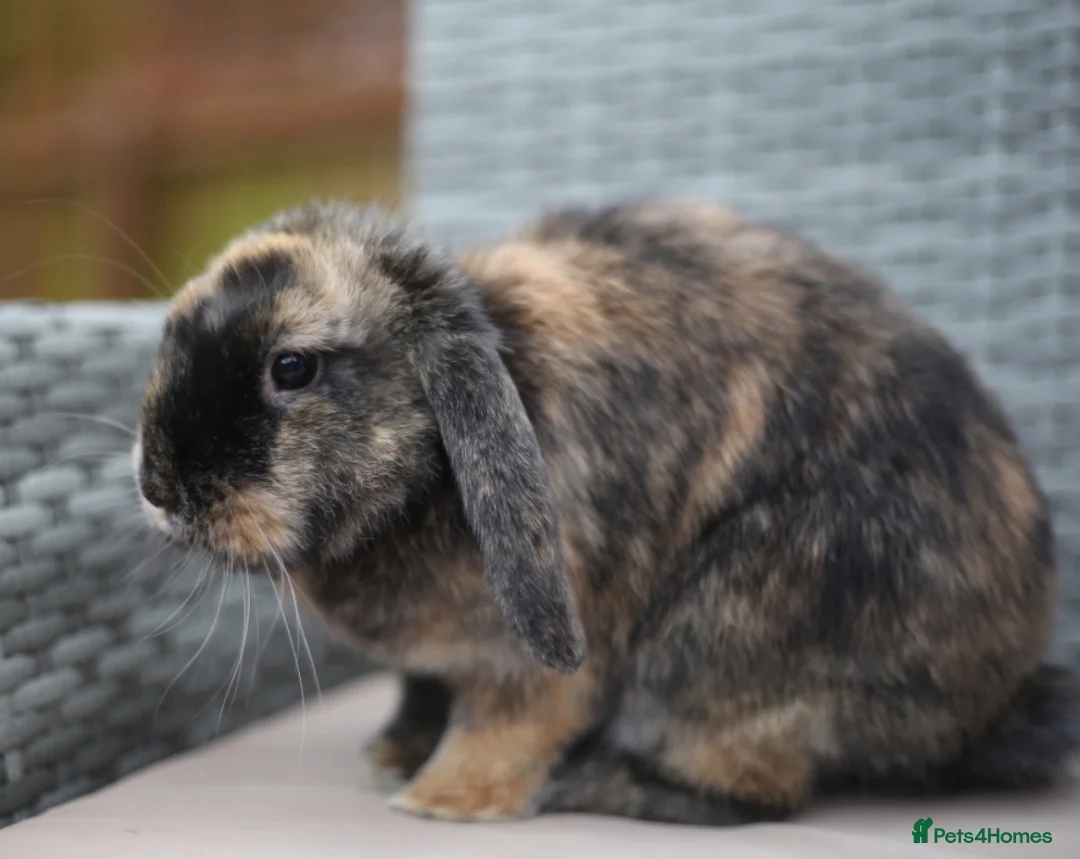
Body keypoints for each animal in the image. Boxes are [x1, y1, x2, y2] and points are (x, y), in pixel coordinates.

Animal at [134, 198, 1080, 825]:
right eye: (171, 337)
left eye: (291, 368)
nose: (160, 489)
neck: (425, 473)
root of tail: (989, 705)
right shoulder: (434, 662)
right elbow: (422, 687)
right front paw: (395, 750)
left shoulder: (531, 661)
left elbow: (510, 721)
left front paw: (442, 797)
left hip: (719, 643)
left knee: (752, 795)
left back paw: (584, 782)